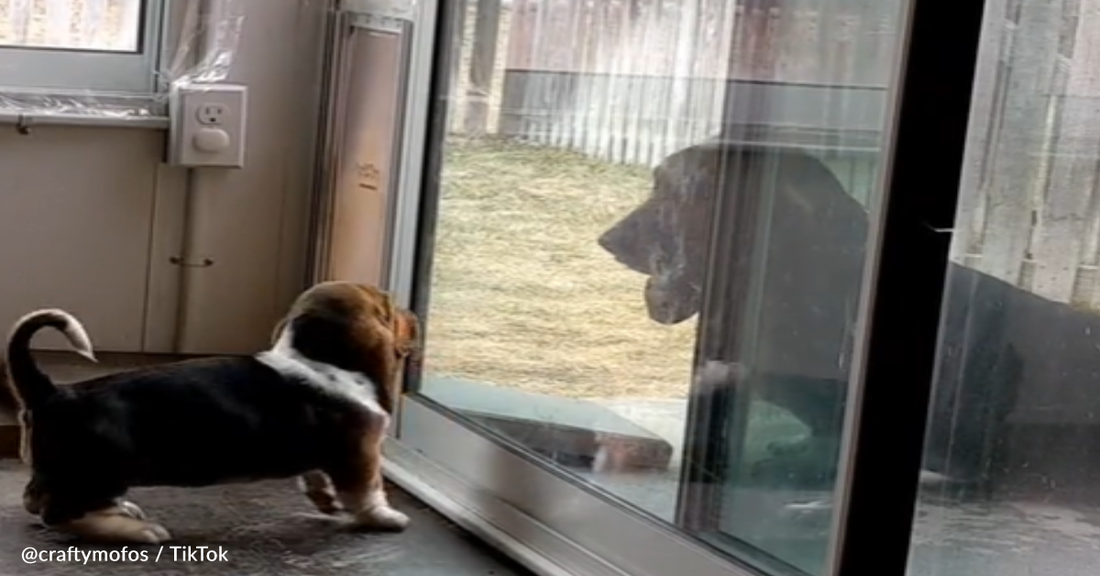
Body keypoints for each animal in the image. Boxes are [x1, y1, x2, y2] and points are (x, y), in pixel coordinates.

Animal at [6, 281, 418, 545]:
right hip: (102, 469)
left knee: (39, 499)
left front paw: (326, 500)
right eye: (389, 306)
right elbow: (368, 493)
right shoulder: (359, 454)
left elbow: (316, 475)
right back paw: (139, 531)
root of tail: (54, 392)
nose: (413, 316)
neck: (315, 356)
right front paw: (385, 519)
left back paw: (121, 511)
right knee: (58, 514)